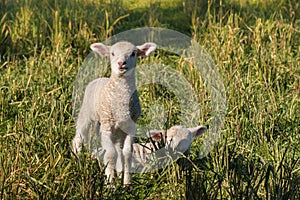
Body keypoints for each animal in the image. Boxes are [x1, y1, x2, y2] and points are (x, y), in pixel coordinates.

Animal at [72, 41, 157, 186]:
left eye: (133, 53)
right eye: (112, 53)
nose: (121, 63)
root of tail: (100, 78)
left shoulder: (131, 127)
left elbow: (127, 153)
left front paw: (127, 184)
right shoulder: (106, 126)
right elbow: (110, 154)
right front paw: (110, 184)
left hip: (116, 131)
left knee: (118, 149)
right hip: (86, 114)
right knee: (79, 137)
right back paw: (77, 158)